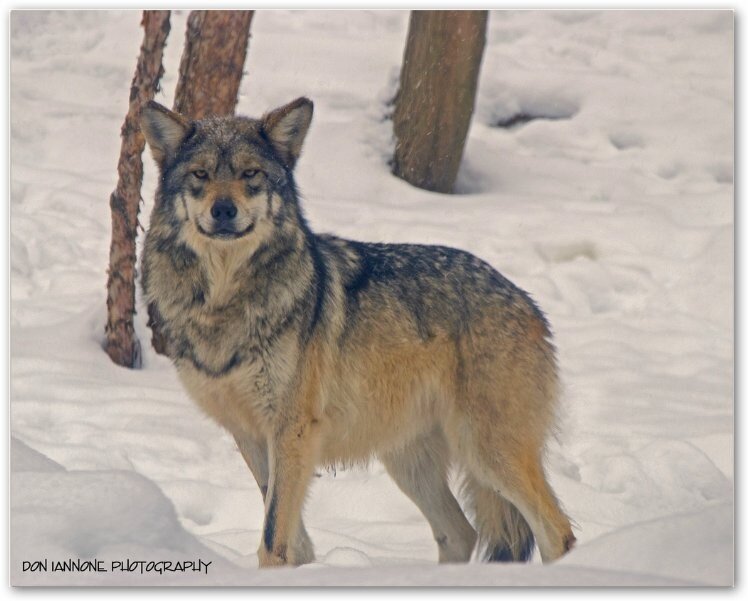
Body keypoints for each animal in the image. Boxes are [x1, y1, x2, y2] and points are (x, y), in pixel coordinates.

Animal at [140, 97, 575, 568]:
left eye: (250, 174)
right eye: (200, 174)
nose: (223, 210)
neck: (223, 302)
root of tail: (527, 301)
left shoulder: (292, 430)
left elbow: (273, 536)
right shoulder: (251, 435)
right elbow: (291, 536)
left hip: (486, 451)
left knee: (557, 533)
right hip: (411, 462)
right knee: (460, 532)